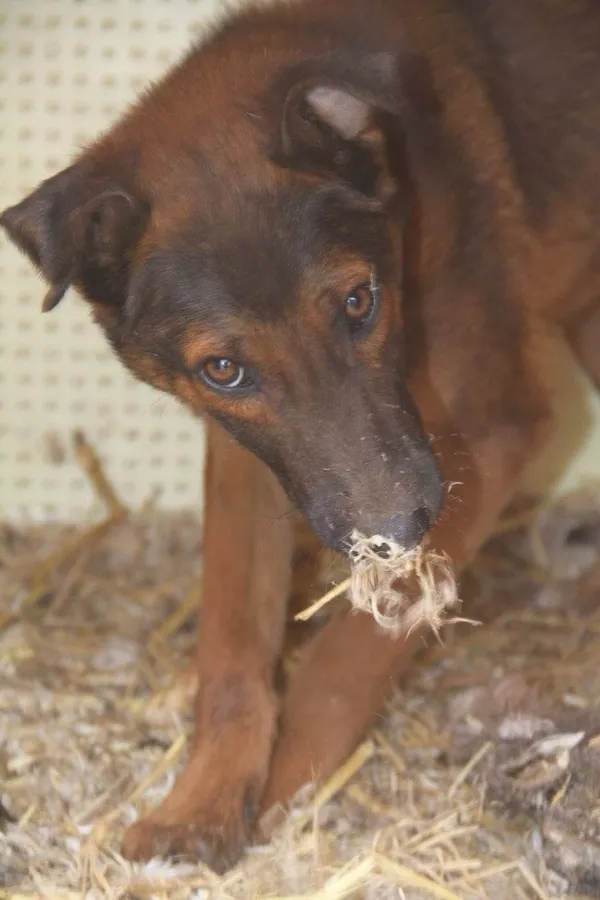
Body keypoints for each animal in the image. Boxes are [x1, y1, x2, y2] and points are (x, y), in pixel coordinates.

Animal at [1, 0, 600, 872]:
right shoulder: (251, 460)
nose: (394, 529)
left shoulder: (490, 434)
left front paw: (288, 791)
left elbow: (348, 655)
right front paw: (203, 801)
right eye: (223, 370)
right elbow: (232, 639)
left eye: (358, 301)